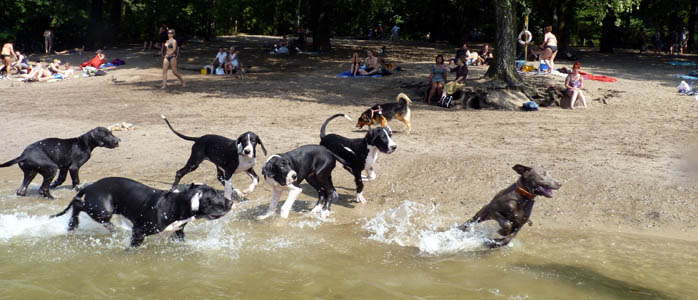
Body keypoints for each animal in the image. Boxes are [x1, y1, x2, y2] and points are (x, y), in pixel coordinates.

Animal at [52, 177, 231, 247]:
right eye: (215, 196)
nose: (231, 202)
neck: (178, 204)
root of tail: (91, 186)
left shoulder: (178, 233)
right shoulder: (139, 232)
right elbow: (131, 249)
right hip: (103, 209)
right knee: (77, 204)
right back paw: (73, 224)